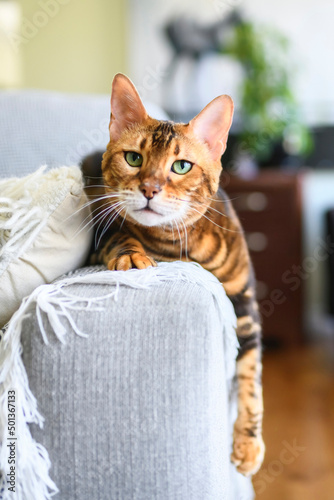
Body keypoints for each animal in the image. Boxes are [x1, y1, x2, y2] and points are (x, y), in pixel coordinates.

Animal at [82, 72, 264, 474]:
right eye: (134, 158)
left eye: (181, 166)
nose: (149, 189)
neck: (185, 244)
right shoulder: (104, 229)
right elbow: (121, 237)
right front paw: (132, 256)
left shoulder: (245, 304)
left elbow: (251, 377)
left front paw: (247, 443)